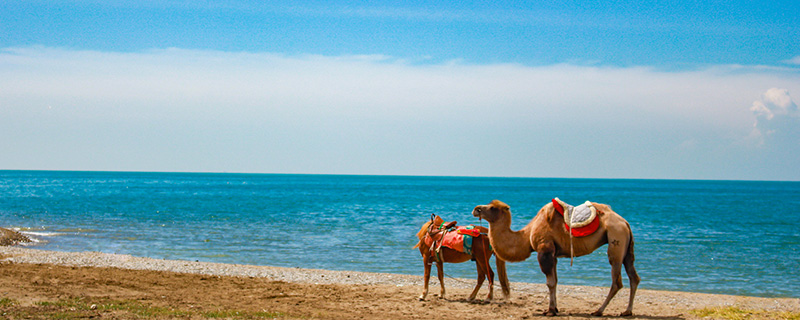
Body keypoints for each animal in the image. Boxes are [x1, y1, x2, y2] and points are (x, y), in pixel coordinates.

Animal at [472, 199, 640, 316]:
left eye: (493, 208)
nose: (476, 209)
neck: (527, 235)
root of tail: (625, 222)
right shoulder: (554, 255)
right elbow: (556, 281)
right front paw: (555, 308)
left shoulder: (544, 250)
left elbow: (550, 282)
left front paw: (550, 310)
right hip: (626, 247)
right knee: (633, 276)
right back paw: (627, 311)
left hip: (616, 239)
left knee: (617, 281)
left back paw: (599, 311)